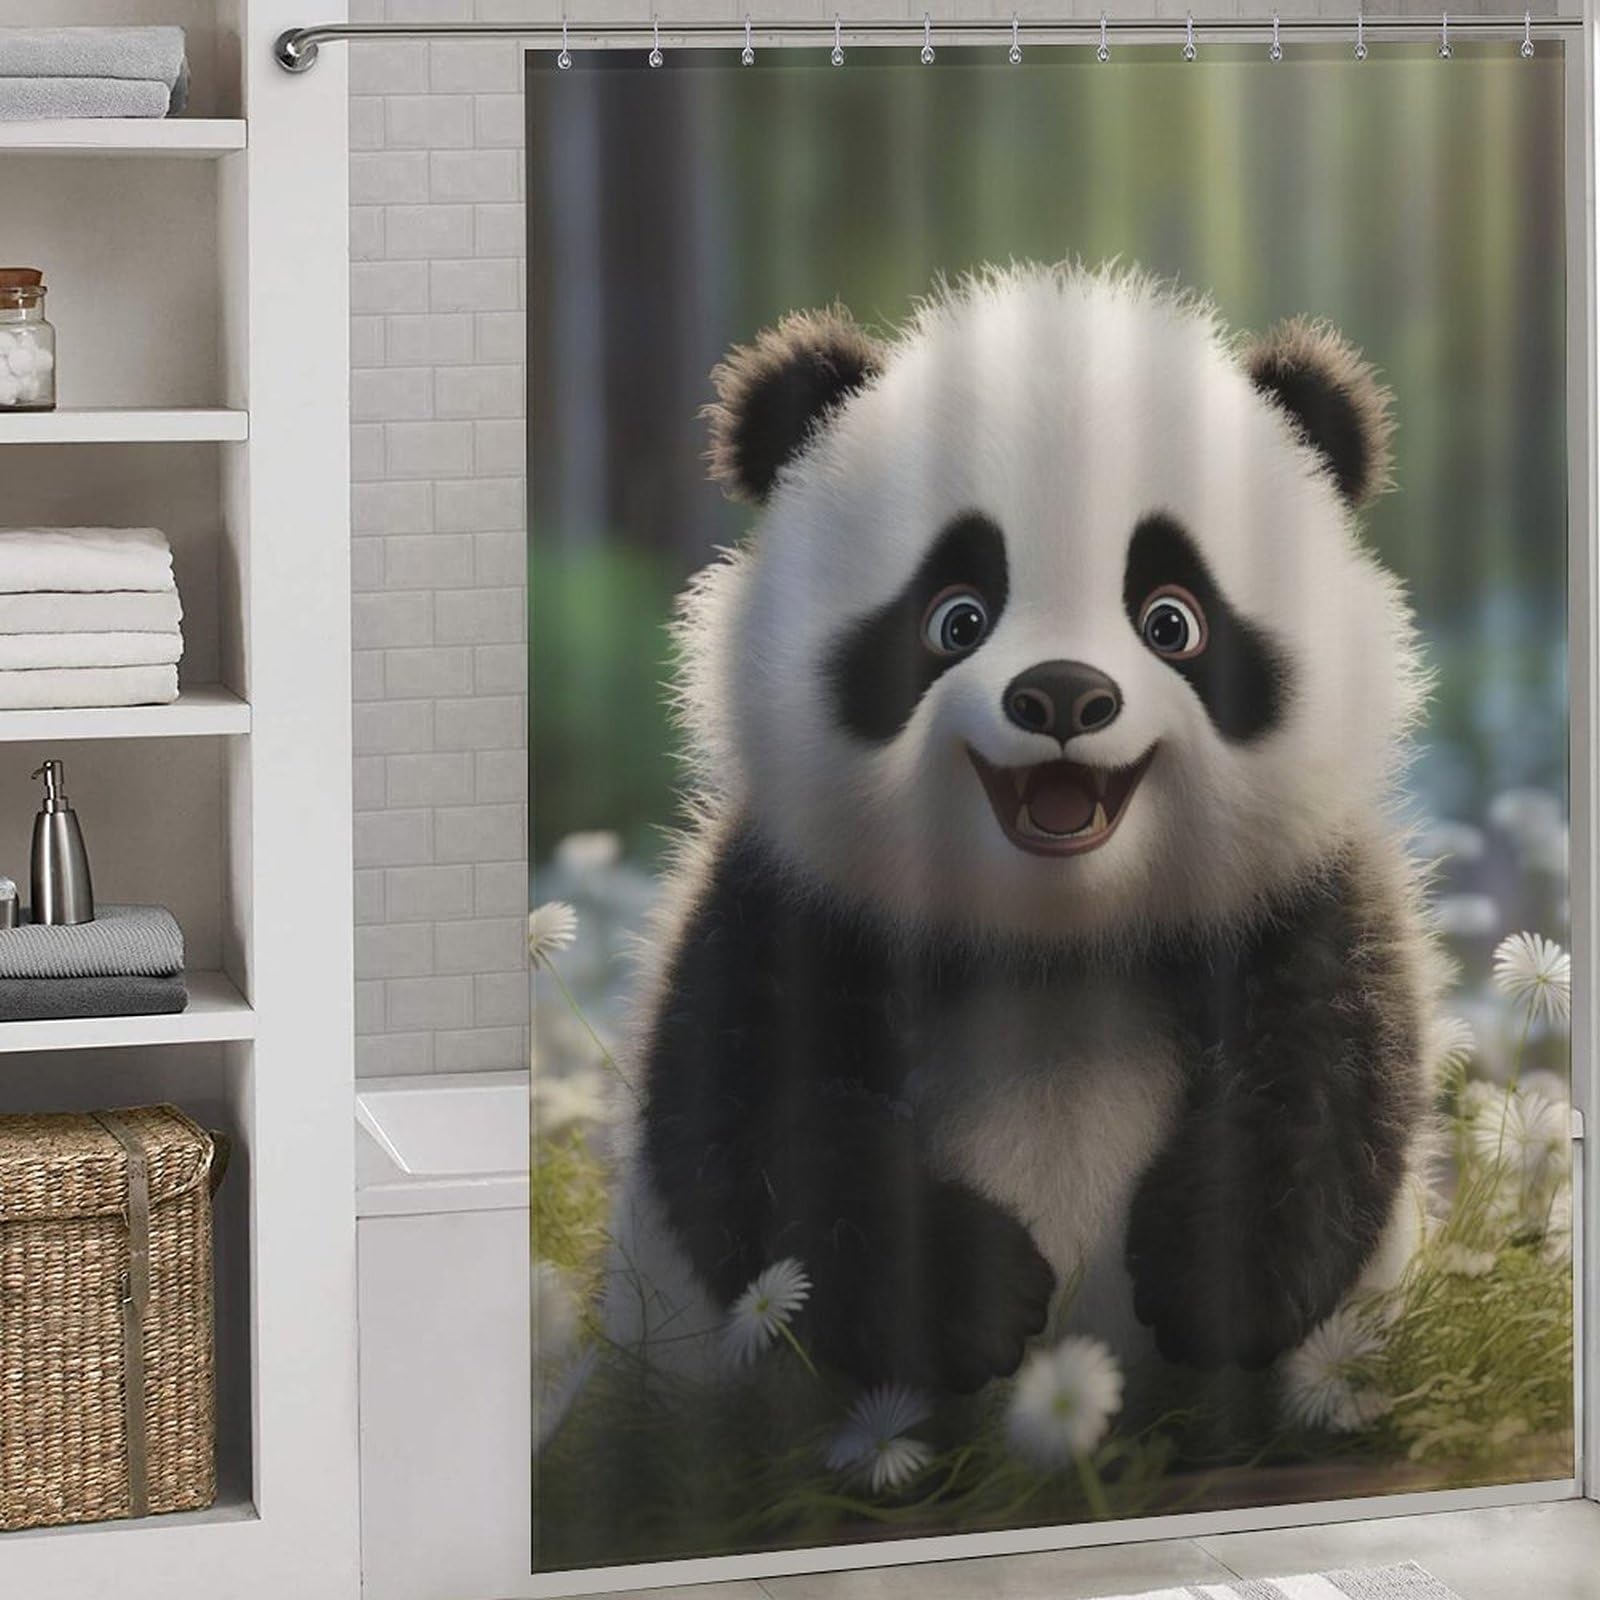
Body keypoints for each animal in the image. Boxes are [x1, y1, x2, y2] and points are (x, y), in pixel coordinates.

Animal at [592, 262, 1444, 1404]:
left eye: (1172, 620)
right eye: (956, 616)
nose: (1063, 696)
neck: (1057, 938)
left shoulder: (1298, 884)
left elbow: (1335, 1072)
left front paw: (1208, 1277)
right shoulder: (791, 890)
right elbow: (750, 1114)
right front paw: (974, 1298)